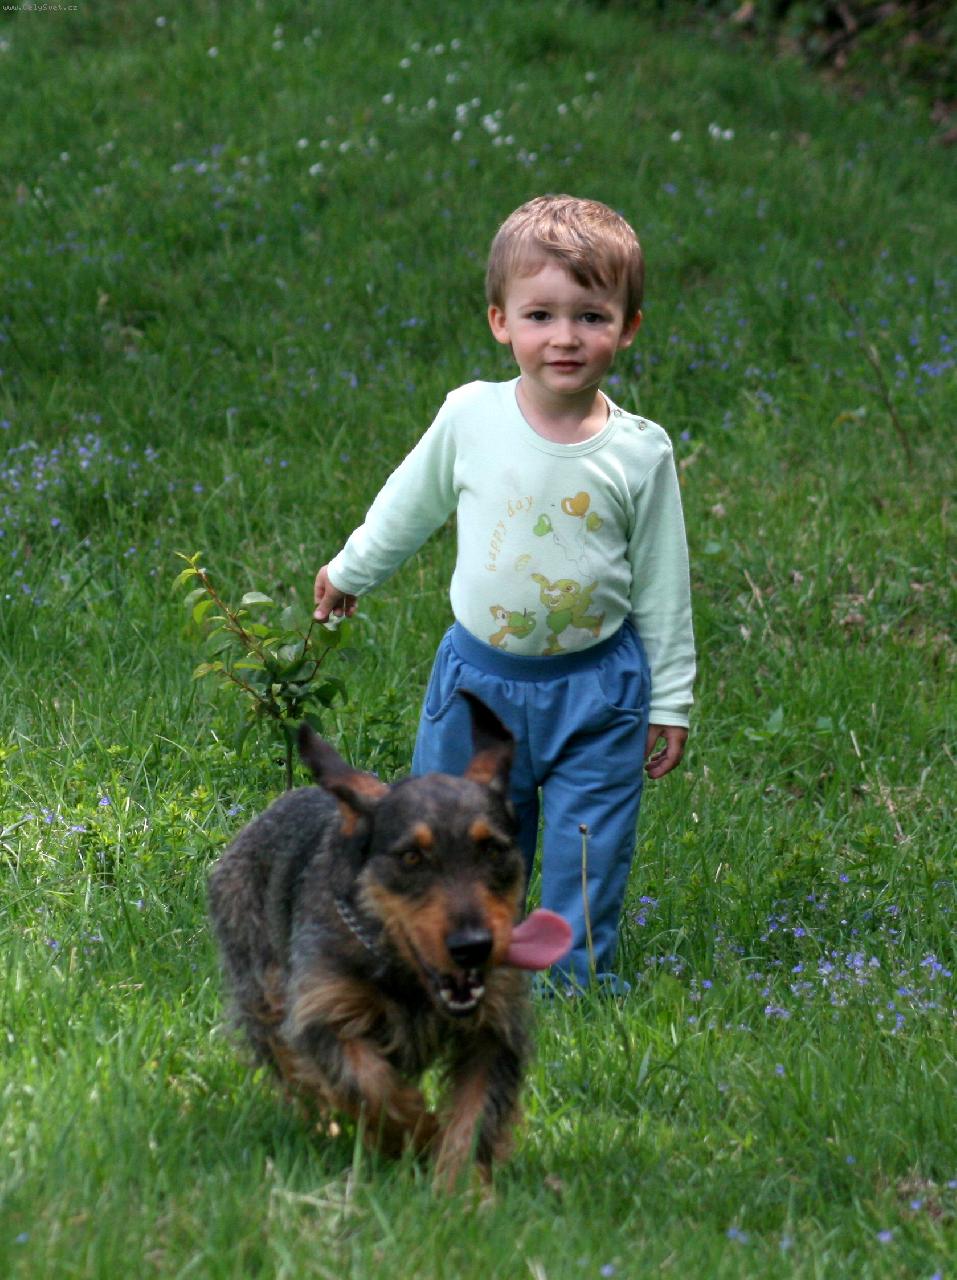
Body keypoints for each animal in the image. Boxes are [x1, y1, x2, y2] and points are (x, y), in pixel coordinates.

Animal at [208, 692, 570, 1190]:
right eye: (411, 857)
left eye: (492, 849)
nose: (473, 946)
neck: (406, 973)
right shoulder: (321, 1011)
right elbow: (371, 1085)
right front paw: (418, 1136)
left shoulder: (494, 1028)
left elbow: (475, 1113)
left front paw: (460, 1190)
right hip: (261, 993)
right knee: (292, 1070)